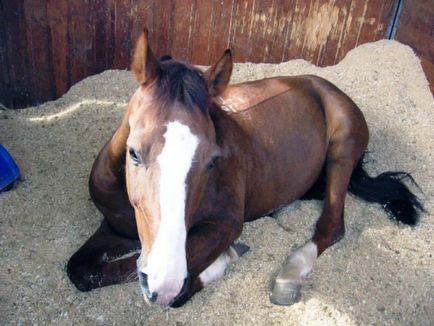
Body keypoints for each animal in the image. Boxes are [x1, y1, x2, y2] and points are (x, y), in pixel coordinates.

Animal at [66, 29, 422, 306]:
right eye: (134, 153)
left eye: (212, 160)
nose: (162, 283)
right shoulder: (114, 229)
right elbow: (82, 270)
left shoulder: (223, 225)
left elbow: (180, 283)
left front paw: (224, 259)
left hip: (343, 150)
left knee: (331, 226)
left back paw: (289, 276)